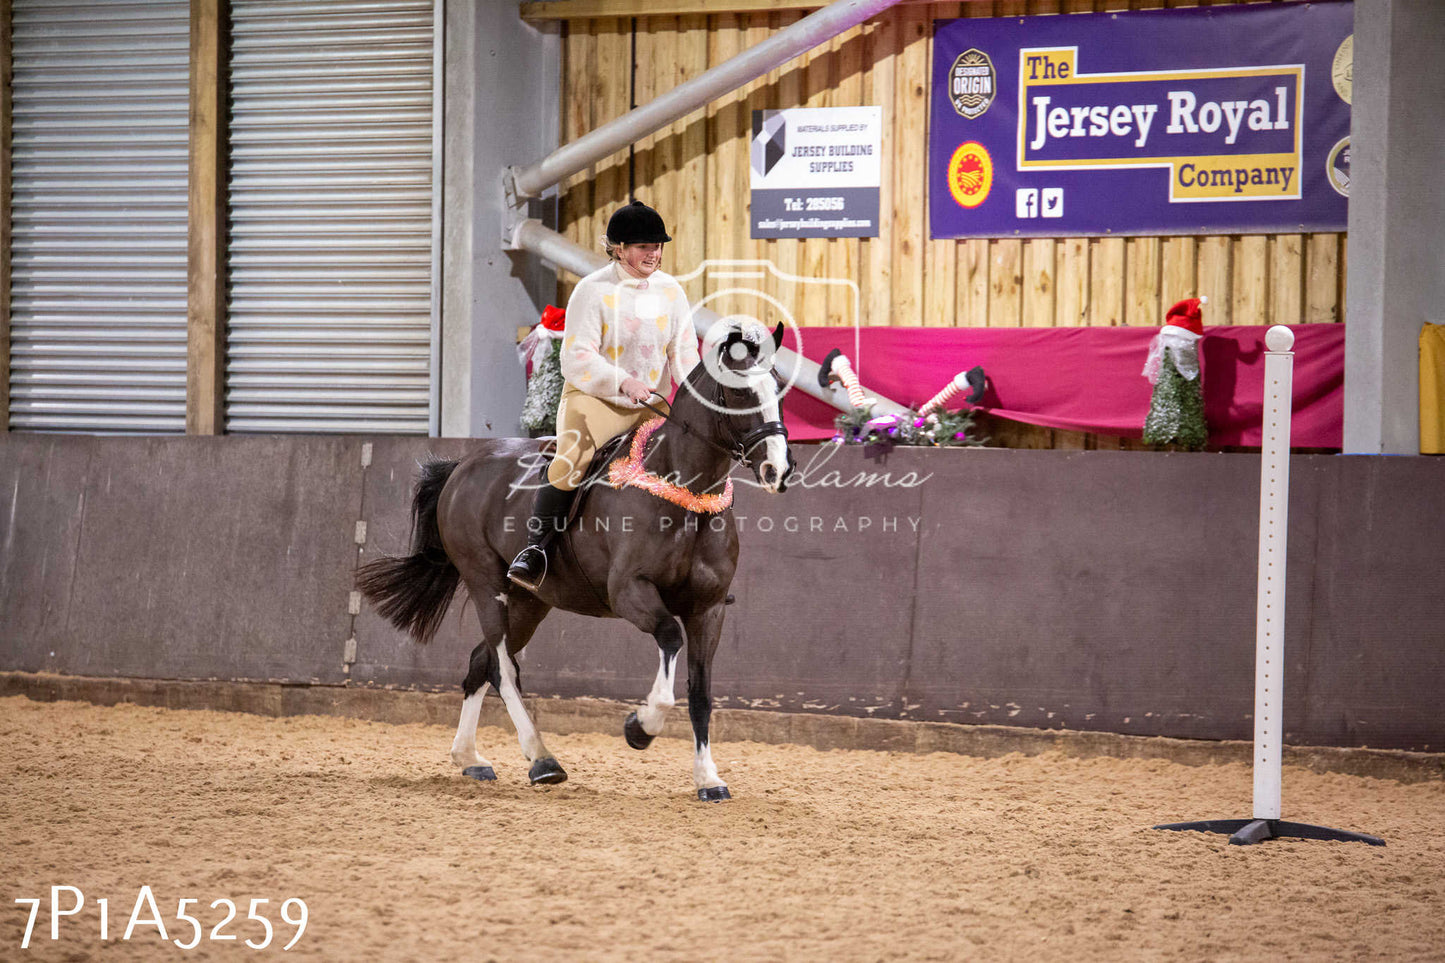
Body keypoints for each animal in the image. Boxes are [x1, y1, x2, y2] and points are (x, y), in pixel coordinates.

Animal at [356, 321, 797, 792]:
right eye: (739, 393)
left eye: (779, 389)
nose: (779, 470)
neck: (684, 494)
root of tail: (464, 465)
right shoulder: (630, 592)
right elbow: (669, 640)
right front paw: (641, 727)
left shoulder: (709, 608)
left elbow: (701, 692)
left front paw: (708, 778)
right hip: (486, 584)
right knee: (502, 667)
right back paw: (542, 759)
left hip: (529, 602)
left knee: (481, 660)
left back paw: (470, 757)